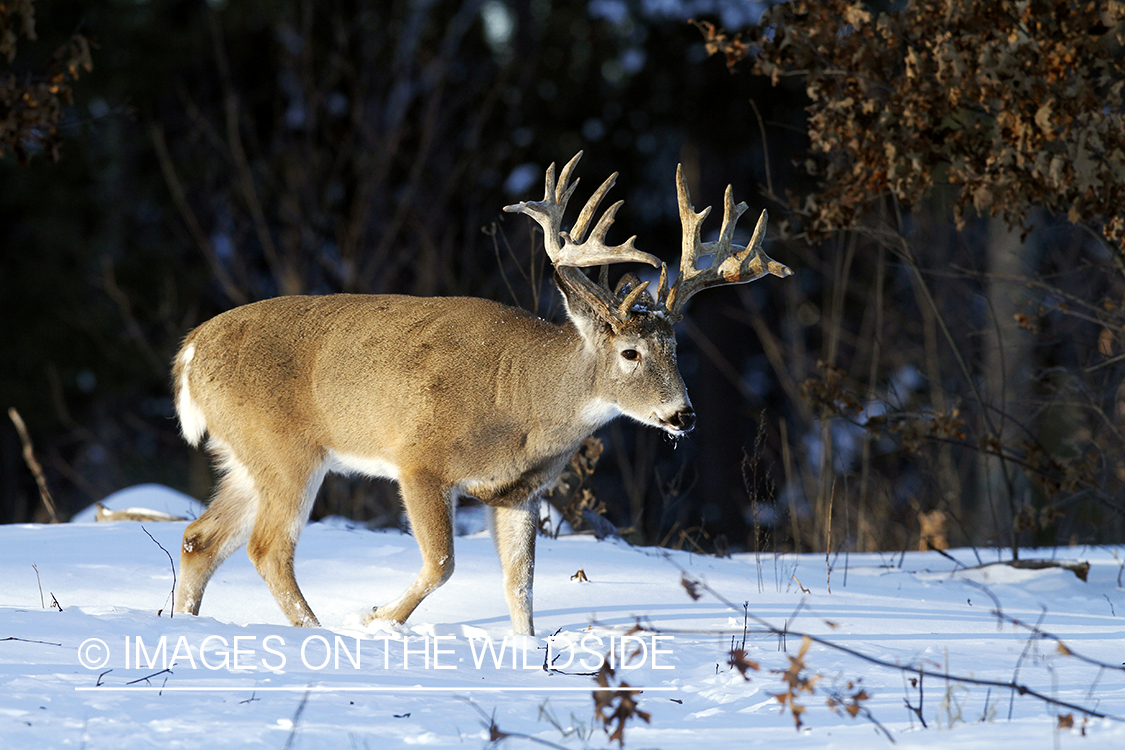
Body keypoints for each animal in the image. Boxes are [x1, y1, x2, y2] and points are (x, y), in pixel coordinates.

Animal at [173, 152, 792, 634]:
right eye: (630, 353)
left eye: (676, 349)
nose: (683, 416)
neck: (521, 402)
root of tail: (190, 350)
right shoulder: (419, 460)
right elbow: (443, 563)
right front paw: (375, 619)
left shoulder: (520, 491)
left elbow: (522, 589)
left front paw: (526, 653)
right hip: (287, 449)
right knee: (267, 548)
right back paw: (321, 632)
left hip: (246, 455)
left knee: (199, 538)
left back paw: (186, 624)